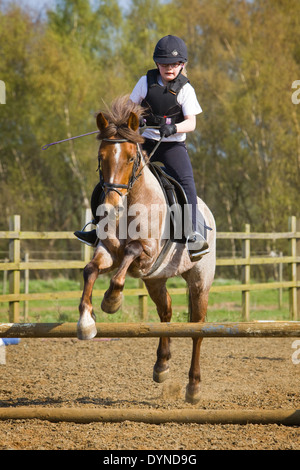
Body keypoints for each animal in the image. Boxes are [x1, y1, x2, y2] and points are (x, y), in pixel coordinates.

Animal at [76, 96, 214, 404]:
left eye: (130, 158)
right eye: (101, 157)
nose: (111, 207)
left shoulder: (146, 254)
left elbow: (129, 256)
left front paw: (111, 301)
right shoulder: (107, 251)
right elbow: (90, 269)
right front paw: (86, 321)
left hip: (199, 281)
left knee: (197, 329)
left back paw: (194, 387)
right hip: (155, 281)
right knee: (166, 312)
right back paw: (161, 366)